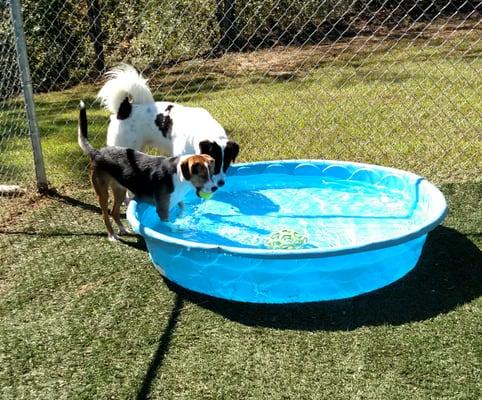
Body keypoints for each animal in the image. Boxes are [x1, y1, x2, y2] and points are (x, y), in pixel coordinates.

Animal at [78, 101, 215, 242]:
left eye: (211, 173)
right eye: (202, 175)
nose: (215, 188)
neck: (178, 176)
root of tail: (97, 152)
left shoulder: (176, 200)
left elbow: (183, 208)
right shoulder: (162, 211)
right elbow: (169, 224)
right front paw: (178, 228)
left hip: (119, 190)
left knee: (114, 211)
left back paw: (122, 229)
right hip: (103, 193)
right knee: (105, 214)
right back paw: (112, 235)